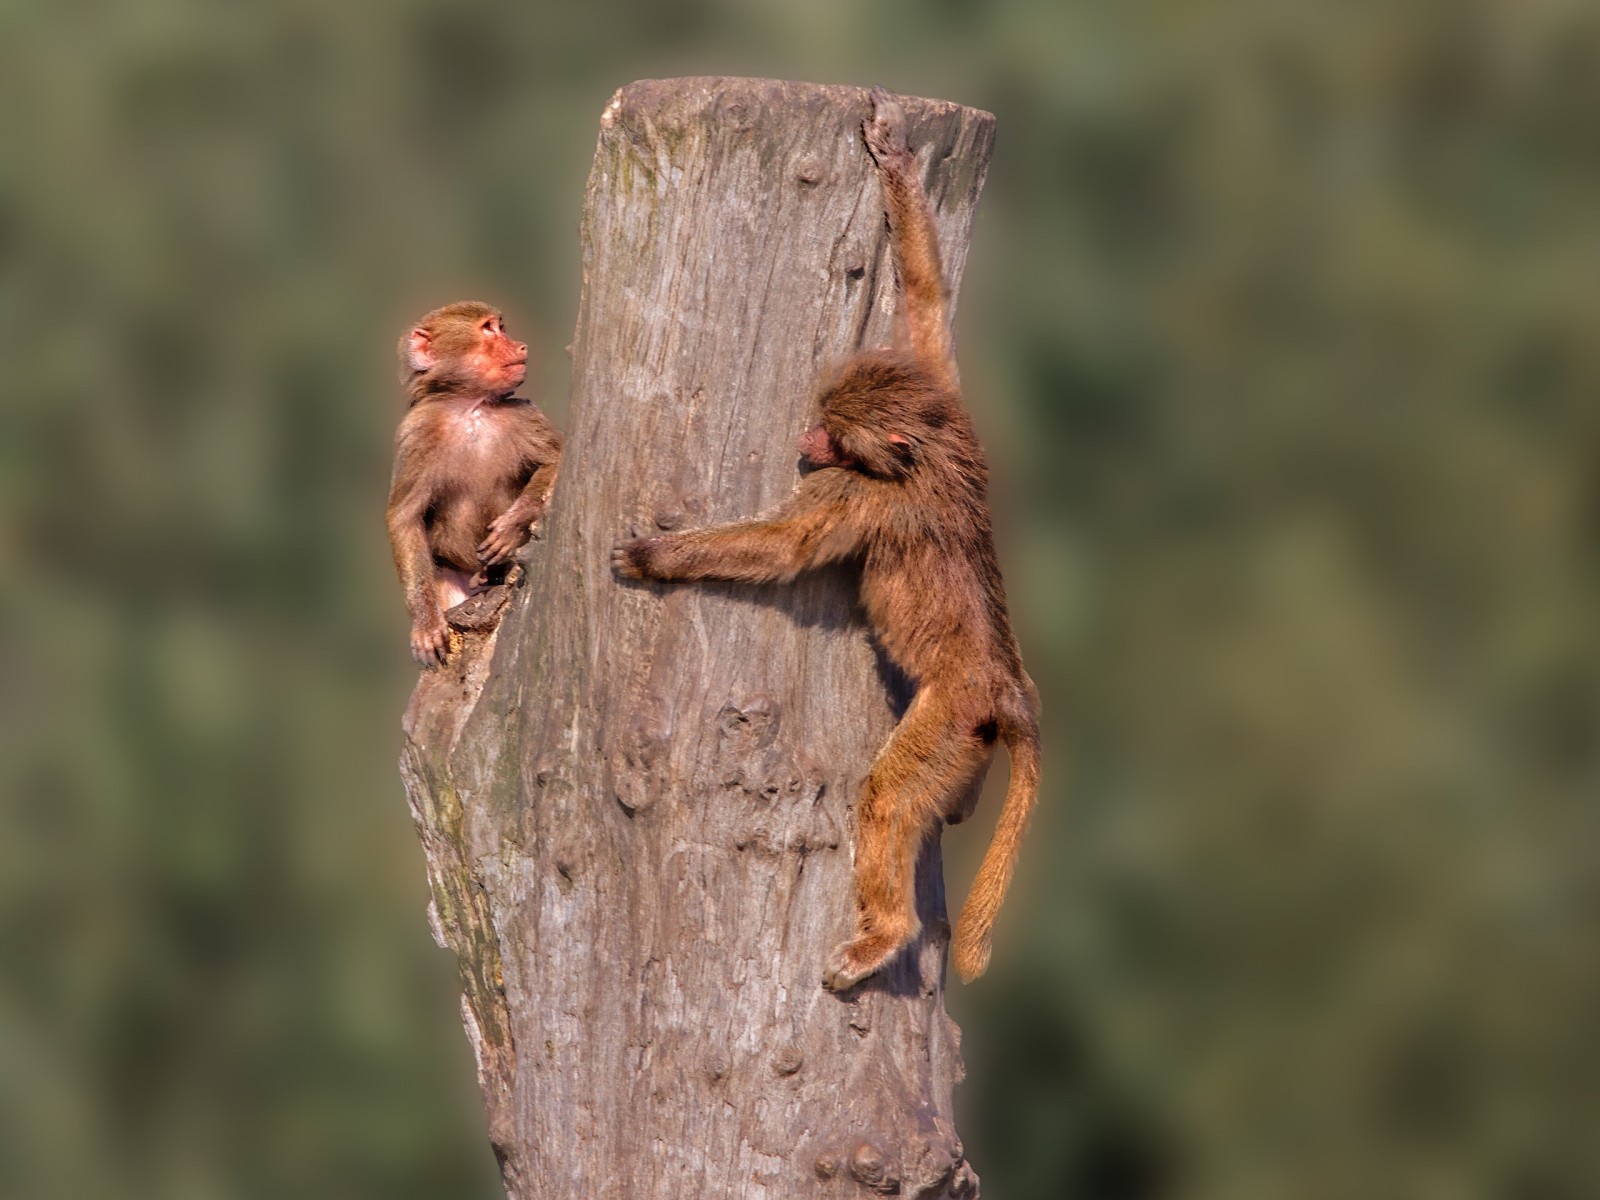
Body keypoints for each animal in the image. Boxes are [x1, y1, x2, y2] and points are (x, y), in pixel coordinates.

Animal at [387, 302, 563, 668]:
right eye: (488, 329)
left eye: (500, 327)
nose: (521, 346)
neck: (471, 407)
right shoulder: (416, 432)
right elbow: (404, 517)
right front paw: (425, 625)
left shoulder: (524, 414)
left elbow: (555, 460)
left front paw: (511, 527)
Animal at [608, 89, 1036, 992]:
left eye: (835, 438)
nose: (806, 440)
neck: (929, 449)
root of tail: (1007, 687)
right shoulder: (939, 387)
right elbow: (925, 301)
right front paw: (895, 159)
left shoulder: (861, 495)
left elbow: (785, 546)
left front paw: (657, 558)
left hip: (952, 720)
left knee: (889, 798)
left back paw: (882, 934)